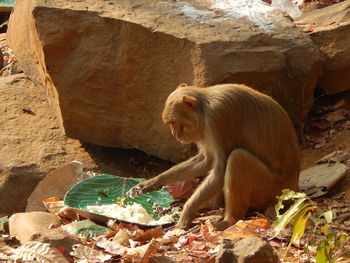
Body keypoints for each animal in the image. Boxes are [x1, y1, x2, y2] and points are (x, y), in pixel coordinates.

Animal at [127, 83, 300, 229]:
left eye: (173, 122)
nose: (175, 135)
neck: (205, 107)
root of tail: (293, 188)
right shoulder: (205, 129)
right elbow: (206, 160)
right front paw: (152, 182)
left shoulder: (217, 118)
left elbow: (221, 168)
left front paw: (187, 213)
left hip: (270, 190)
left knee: (237, 158)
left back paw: (230, 220)